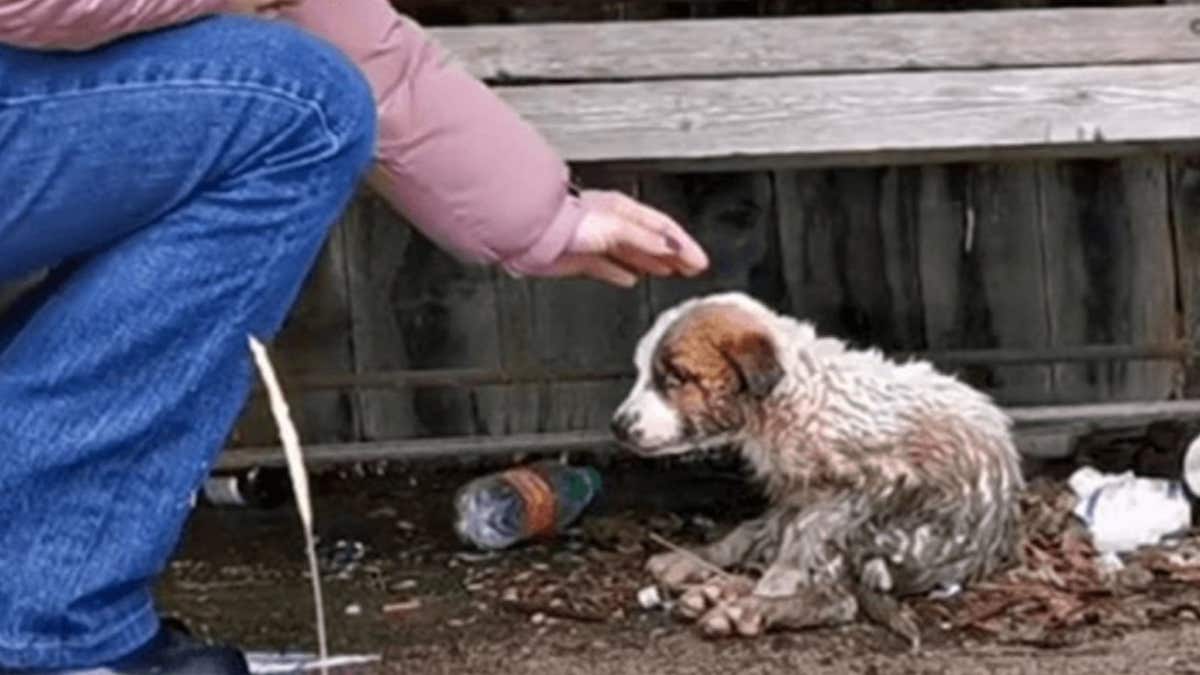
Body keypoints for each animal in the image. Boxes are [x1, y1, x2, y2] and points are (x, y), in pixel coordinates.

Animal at [614, 290, 1027, 648]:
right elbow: (757, 532)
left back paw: (746, 608)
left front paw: (763, 592)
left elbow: (800, 544)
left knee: (837, 597)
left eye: (675, 379)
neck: (786, 397)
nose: (616, 427)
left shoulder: (869, 483)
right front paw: (699, 561)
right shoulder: (794, 490)